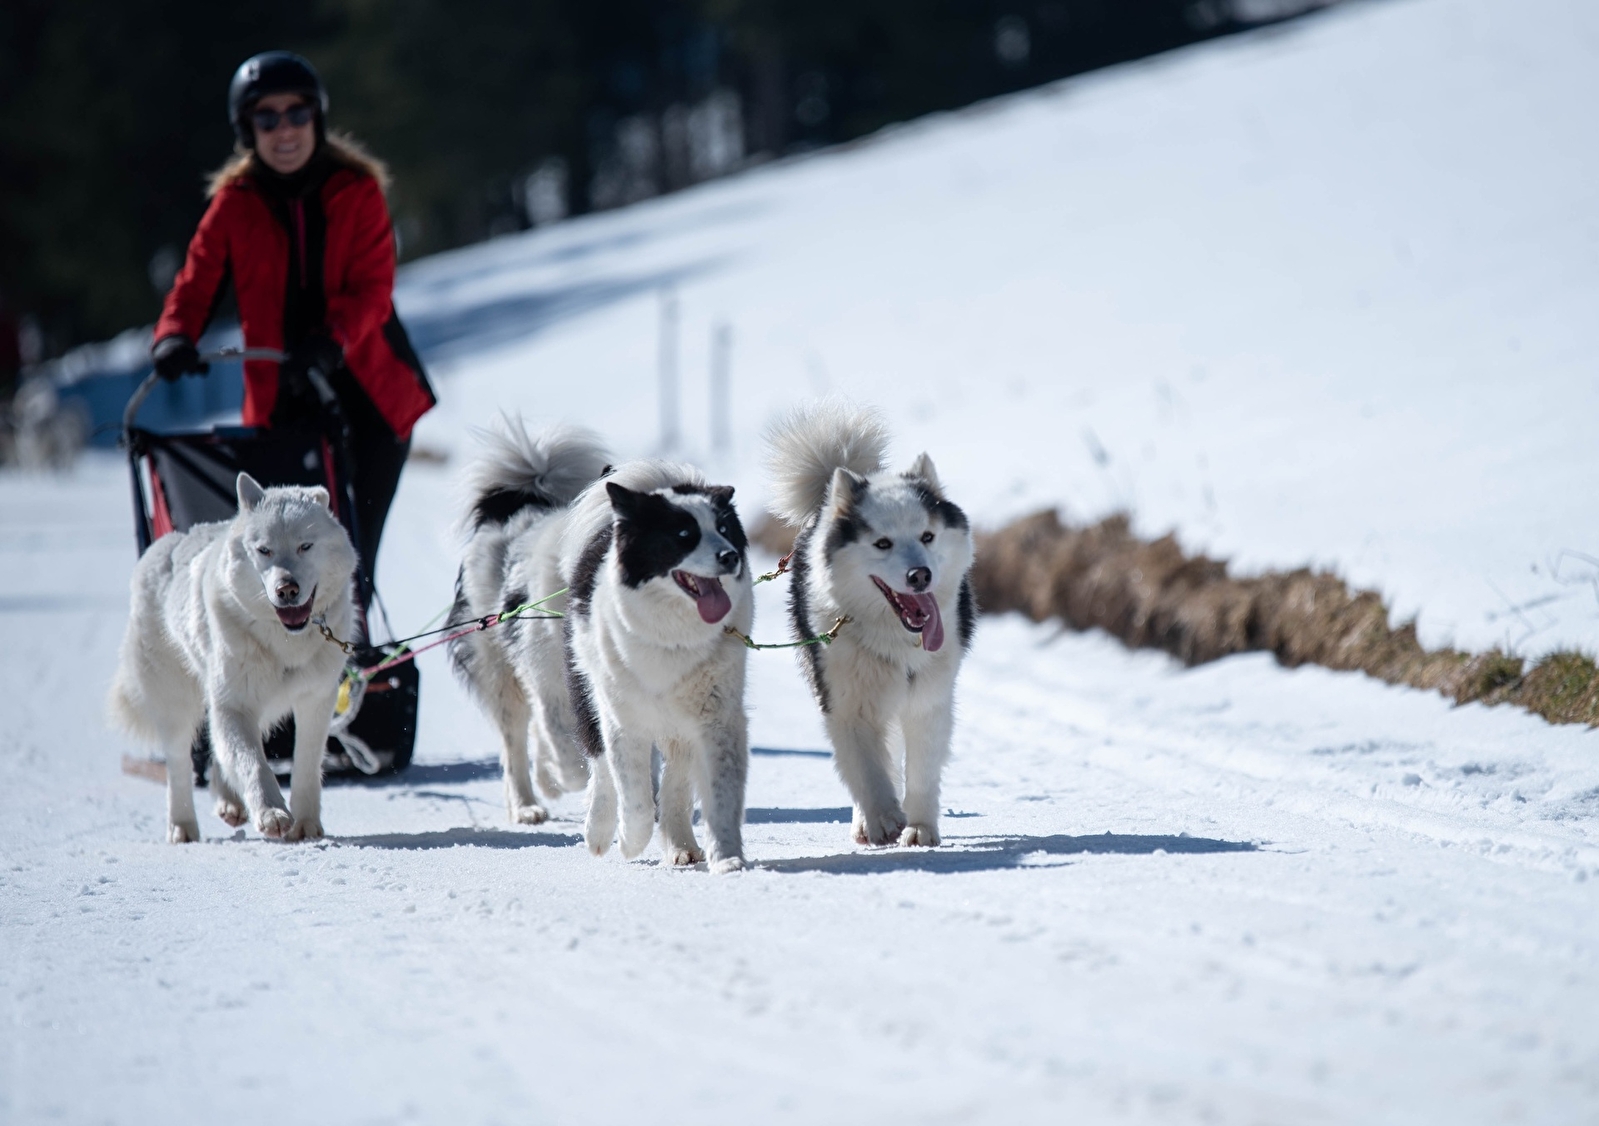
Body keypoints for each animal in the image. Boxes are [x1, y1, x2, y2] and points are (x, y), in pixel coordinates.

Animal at [109, 473, 358, 843]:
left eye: (305, 546)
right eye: (264, 550)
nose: (287, 589)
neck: (285, 641)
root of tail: (165, 543)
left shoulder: (316, 700)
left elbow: (306, 762)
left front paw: (305, 825)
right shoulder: (234, 702)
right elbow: (252, 762)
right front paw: (271, 813)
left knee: (219, 752)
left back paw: (229, 802)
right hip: (177, 705)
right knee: (180, 764)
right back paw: (182, 826)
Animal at [450, 419, 612, 824]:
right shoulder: (551, 686)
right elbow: (569, 755)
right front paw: (558, 779)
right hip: (502, 676)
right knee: (515, 745)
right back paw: (526, 805)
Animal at [561, 461, 754, 872]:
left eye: (724, 529)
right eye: (684, 535)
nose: (730, 556)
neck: (674, 639)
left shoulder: (716, 719)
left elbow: (720, 794)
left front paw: (728, 858)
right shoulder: (624, 720)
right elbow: (633, 796)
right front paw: (629, 842)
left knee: (675, 785)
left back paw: (680, 845)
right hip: (587, 693)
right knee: (602, 768)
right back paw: (599, 831)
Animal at [765, 401, 975, 847]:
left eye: (927, 536)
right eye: (882, 544)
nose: (920, 576)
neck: (894, 638)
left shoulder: (927, 699)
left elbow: (921, 768)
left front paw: (919, 827)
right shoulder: (847, 701)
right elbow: (865, 767)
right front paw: (882, 817)